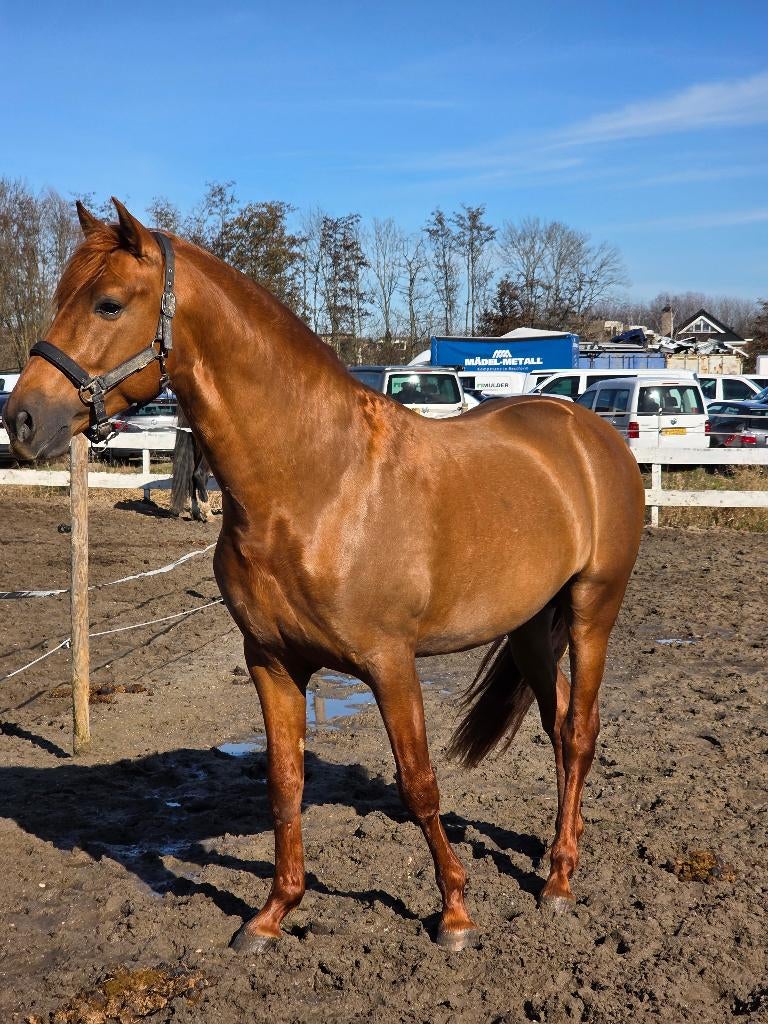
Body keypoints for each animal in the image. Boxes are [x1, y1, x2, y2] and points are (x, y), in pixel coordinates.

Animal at [5, 199, 645, 954]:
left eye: (108, 303)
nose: (21, 419)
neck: (316, 483)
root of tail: (587, 428)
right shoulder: (272, 662)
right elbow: (284, 783)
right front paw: (272, 913)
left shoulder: (390, 663)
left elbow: (419, 783)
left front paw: (455, 912)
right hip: (528, 629)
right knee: (558, 725)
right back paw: (555, 852)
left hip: (592, 610)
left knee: (580, 731)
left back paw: (561, 879)